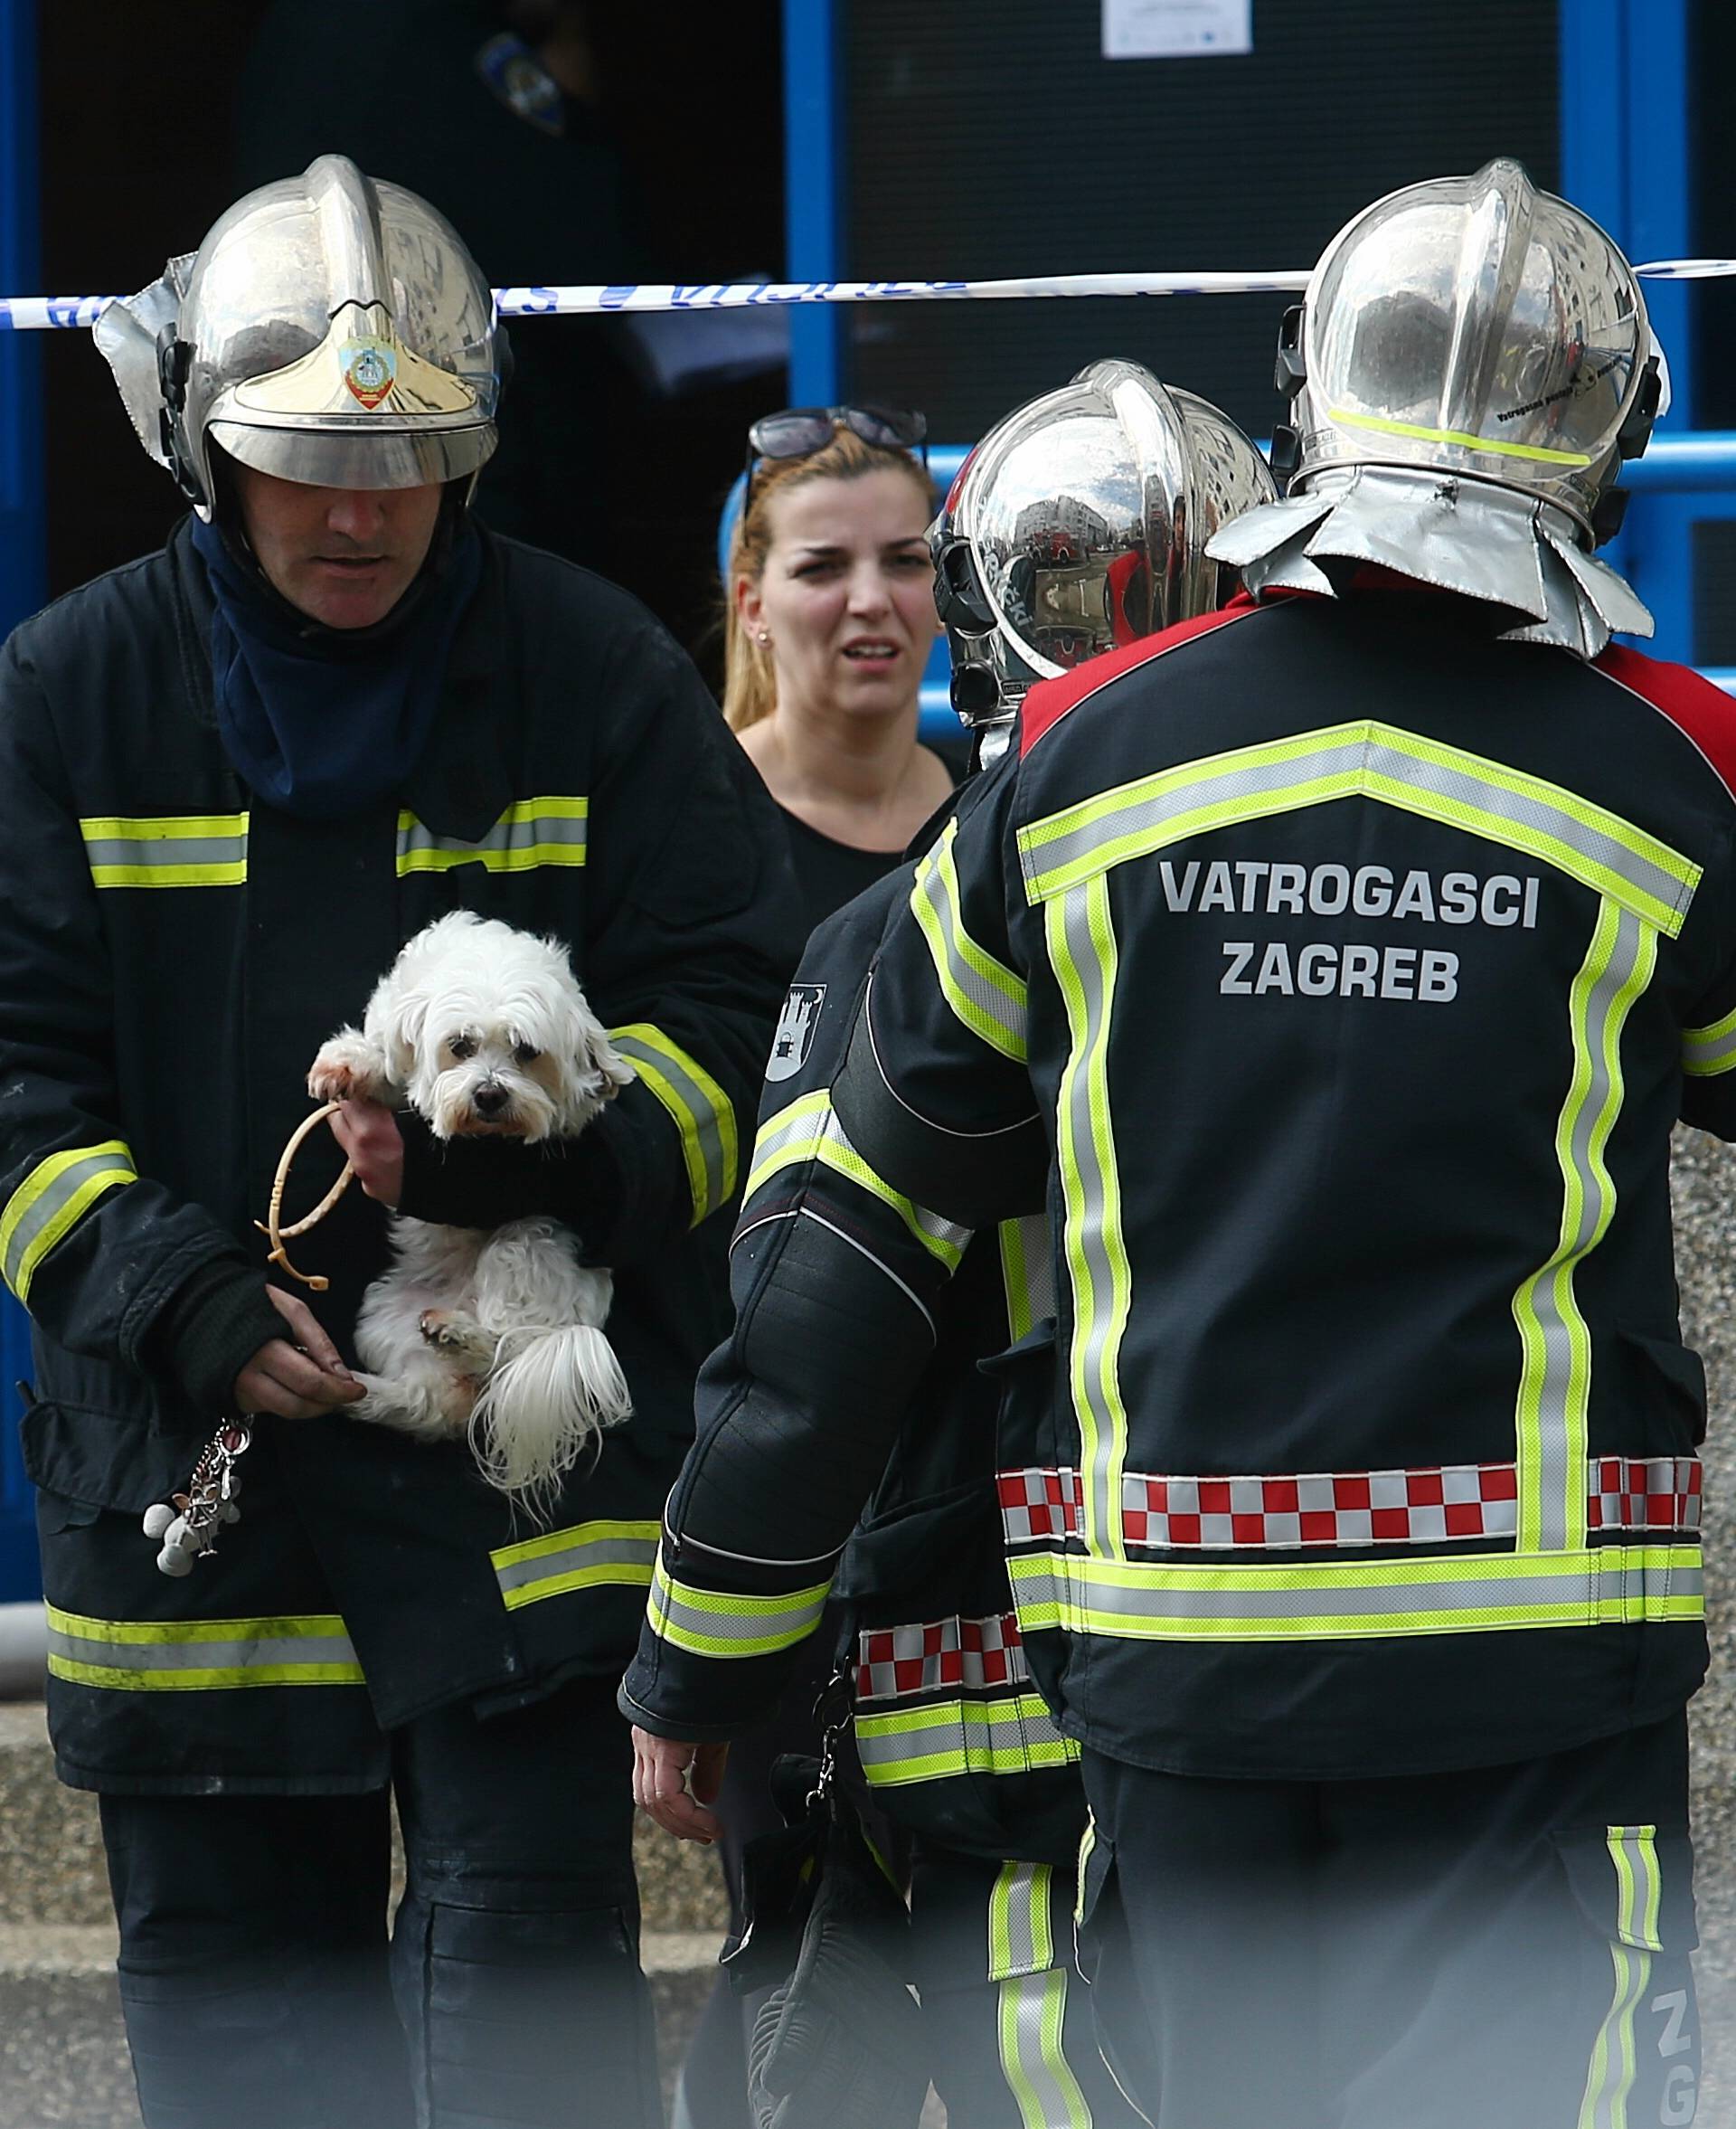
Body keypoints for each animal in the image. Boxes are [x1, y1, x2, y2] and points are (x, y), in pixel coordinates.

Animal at [308, 915, 634, 1516]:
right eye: (459, 1046)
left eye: (527, 1051)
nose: (488, 1095)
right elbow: (389, 1061)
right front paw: (350, 1063)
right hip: (382, 1316)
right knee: (426, 1402)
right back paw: (361, 1394)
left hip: (529, 1245)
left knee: (504, 1349)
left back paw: (461, 1333)